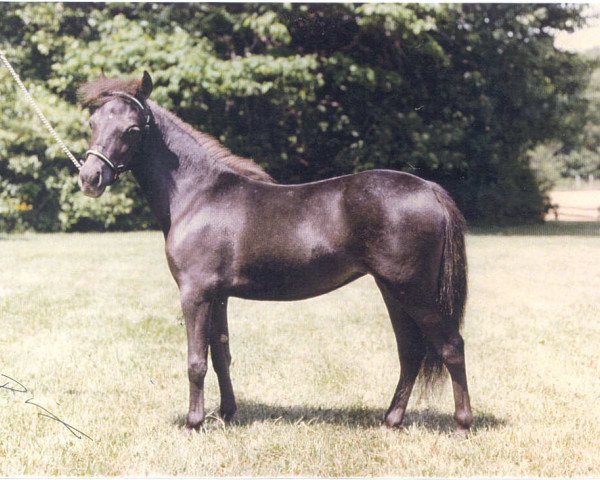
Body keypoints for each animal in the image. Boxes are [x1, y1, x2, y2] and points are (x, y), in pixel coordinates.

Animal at [76, 72, 474, 436]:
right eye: (93, 123)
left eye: (131, 130)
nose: (90, 178)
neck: (197, 195)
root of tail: (430, 189)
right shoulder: (218, 296)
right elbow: (221, 355)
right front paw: (226, 414)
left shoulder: (195, 293)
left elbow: (196, 361)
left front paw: (194, 423)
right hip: (392, 290)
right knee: (410, 351)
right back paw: (391, 420)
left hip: (414, 291)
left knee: (451, 346)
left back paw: (462, 424)